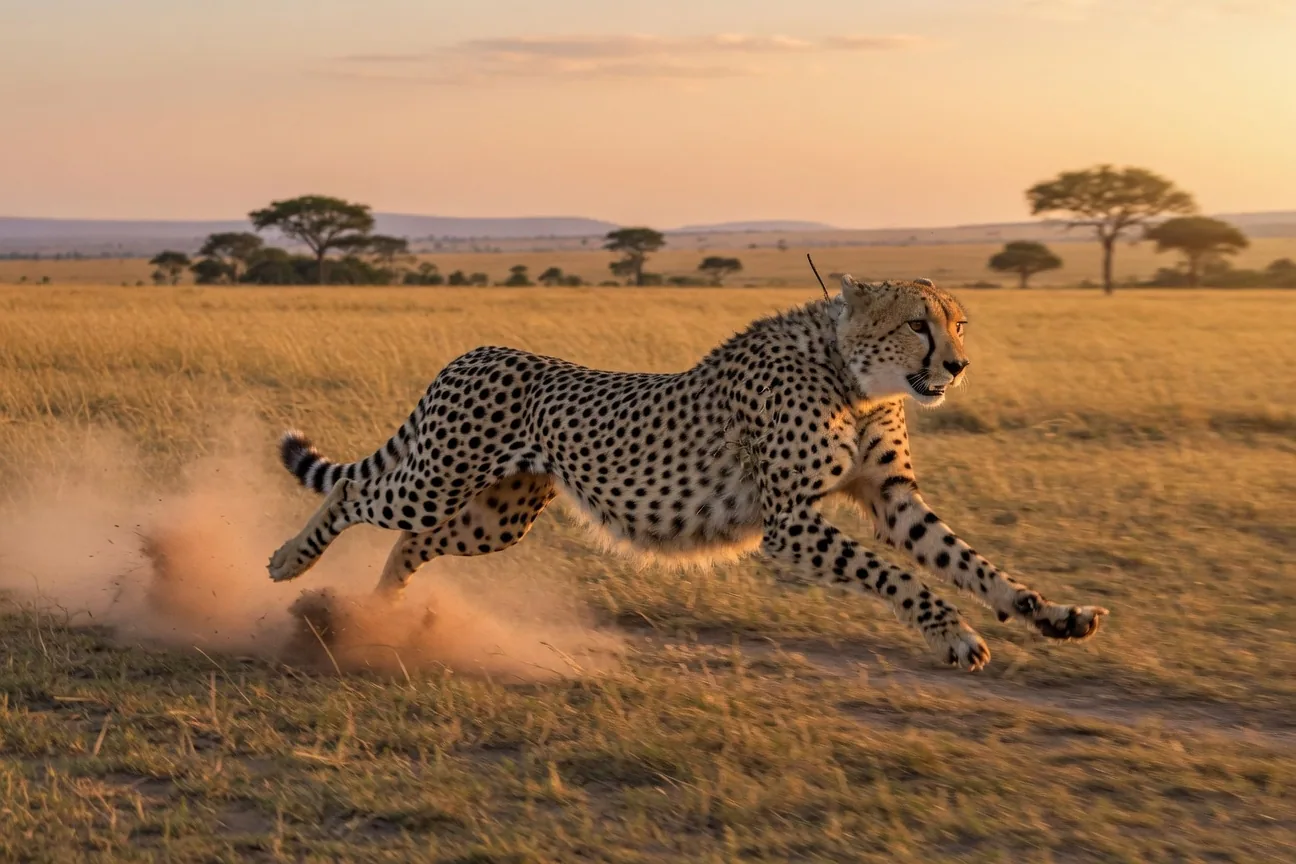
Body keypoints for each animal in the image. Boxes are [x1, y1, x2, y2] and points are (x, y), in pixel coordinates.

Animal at [268, 276, 1108, 671]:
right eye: (917, 324)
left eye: (959, 324)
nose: (959, 367)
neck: (854, 377)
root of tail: (478, 349)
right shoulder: (790, 523)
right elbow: (902, 576)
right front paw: (955, 635)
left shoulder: (893, 498)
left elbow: (967, 561)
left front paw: (1051, 615)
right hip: (437, 477)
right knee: (356, 491)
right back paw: (288, 564)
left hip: (497, 513)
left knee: (410, 543)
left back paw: (373, 616)